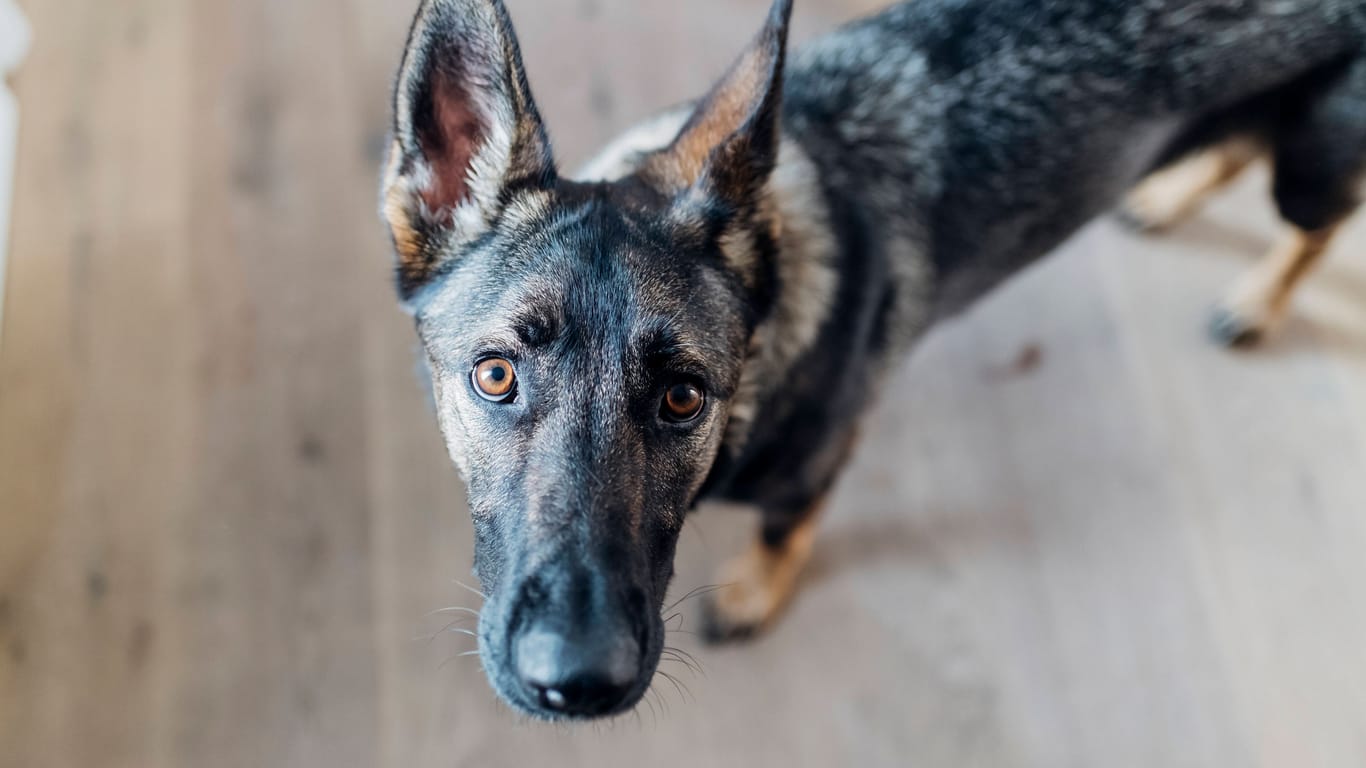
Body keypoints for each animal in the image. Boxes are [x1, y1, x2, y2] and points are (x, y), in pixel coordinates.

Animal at [377, 0, 1366, 716]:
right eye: (495, 375)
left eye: (684, 398)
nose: (580, 684)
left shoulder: (824, 458)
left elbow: (786, 530)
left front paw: (755, 593)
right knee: (1242, 147)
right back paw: (1171, 192)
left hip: (1314, 165)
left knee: (1317, 225)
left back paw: (1257, 299)